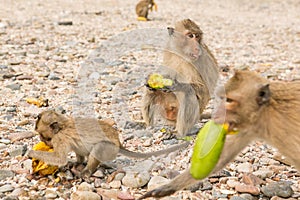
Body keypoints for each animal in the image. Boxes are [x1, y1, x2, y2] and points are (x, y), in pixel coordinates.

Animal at [27, 110, 189, 177]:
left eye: (43, 136)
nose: (42, 141)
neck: (62, 125)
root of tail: (119, 144)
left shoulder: (59, 138)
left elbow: (60, 158)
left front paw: (31, 153)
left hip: (110, 149)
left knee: (99, 148)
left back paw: (87, 171)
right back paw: (78, 163)